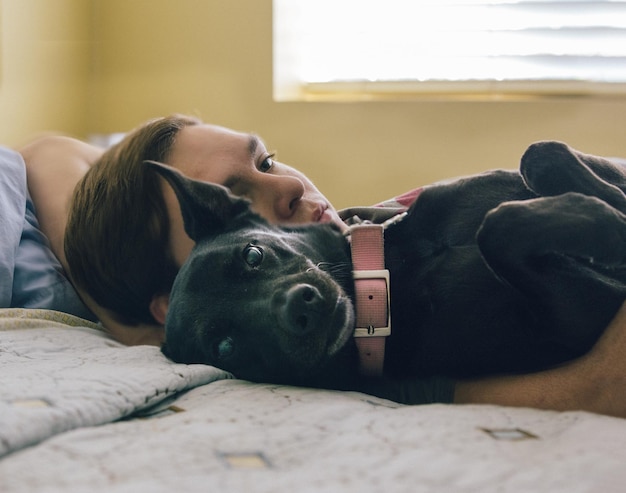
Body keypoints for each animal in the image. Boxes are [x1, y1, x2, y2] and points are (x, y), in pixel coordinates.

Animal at [150, 141, 624, 392]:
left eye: (253, 255)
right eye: (224, 346)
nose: (300, 308)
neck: (395, 276)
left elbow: (540, 155)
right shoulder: (576, 316)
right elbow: (498, 225)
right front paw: (607, 223)